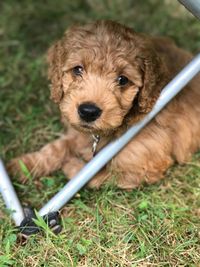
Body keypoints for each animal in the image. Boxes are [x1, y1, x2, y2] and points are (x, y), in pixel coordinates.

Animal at [8, 19, 200, 189]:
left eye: (123, 80)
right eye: (78, 69)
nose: (88, 111)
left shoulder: (144, 165)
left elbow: (97, 177)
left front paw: (72, 165)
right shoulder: (77, 133)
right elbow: (56, 148)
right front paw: (23, 165)